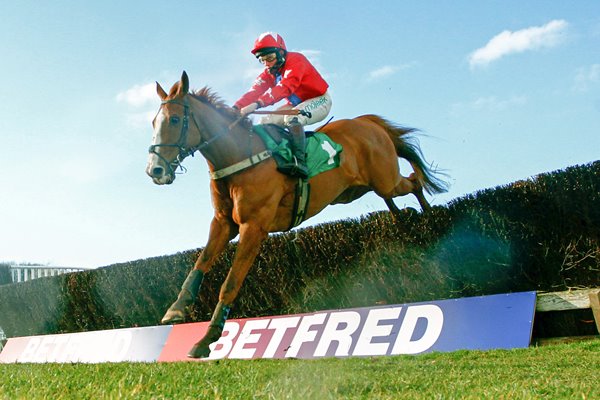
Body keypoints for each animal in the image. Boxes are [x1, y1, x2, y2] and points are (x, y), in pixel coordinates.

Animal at [144, 70, 446, 358]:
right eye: (153, 123)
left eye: (174, 120)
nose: (155, 170)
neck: (239, 156)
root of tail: (367, 122)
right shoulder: (223, 222)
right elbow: (200, 263)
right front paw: (176, 309)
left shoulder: (254, 226)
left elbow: (230, 283)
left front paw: (206, 339)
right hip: (355, 190)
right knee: (391, 195)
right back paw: (404, 217)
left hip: (384, 178)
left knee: (413, 182)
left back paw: (428, 214)